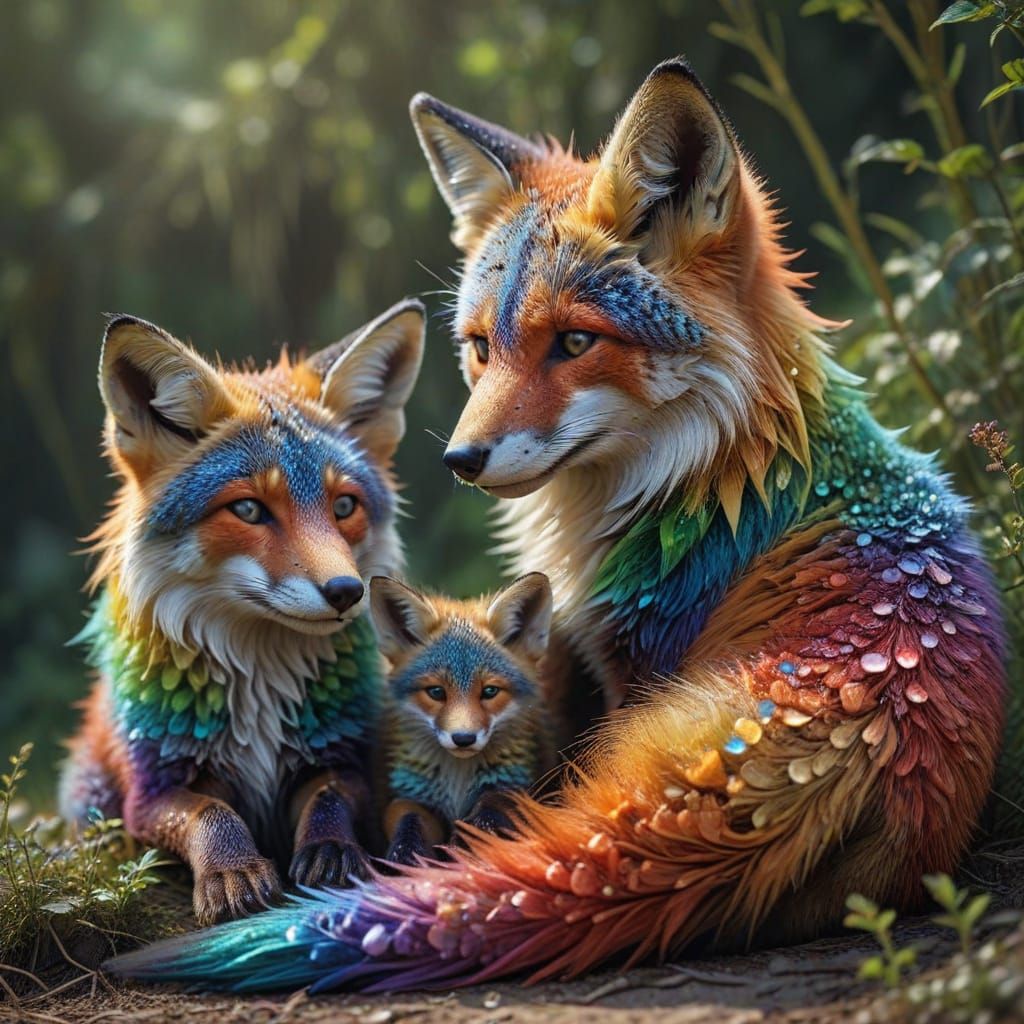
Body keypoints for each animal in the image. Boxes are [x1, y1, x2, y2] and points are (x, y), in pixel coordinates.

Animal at [60, 299, 425, 924]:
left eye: (344, 506)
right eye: (250, 509)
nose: (346, 591)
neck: (259, 681)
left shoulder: (340, 755)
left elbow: (330, 799)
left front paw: (331, 852)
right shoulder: (152, 789)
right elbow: (210, 815)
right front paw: (231, 870)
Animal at [368, 573, 554, 864]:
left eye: (489, 691)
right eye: (436, 692)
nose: (463, 739)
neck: (458, 778)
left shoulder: (514, 784)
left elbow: (491, 809)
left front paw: (469, 846)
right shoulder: (410, 794)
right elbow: (409, 819)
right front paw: (405, 856)